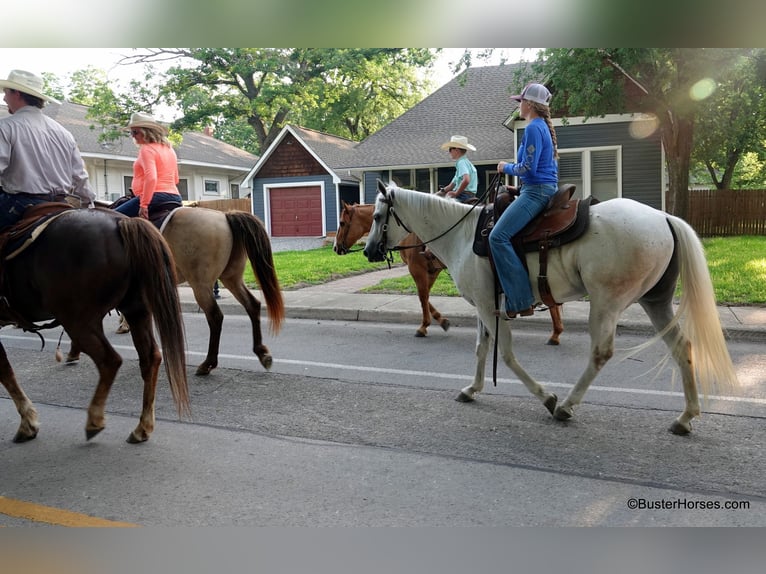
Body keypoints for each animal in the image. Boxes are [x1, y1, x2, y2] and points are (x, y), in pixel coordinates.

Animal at [0, 207, 190, 446]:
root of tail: (121, 222)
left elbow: (5, 371)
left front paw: (28, 423)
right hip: (136, 310)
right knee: (150, 358)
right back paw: (142, 427)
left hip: (78, 320)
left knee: (110, 361)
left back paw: (95, 420)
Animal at [71, 207, 284, 378]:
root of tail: (224, 215)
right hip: (231, 278)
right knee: (252, 305)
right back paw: (262, 353)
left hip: (201, 285)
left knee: (215, 317)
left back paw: (208, 364)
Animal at [332, 200, 568, 344]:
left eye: (342, 222)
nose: (335, 248)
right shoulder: (431, 270)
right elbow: (426, 297)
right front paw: (440, 320)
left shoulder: (417, 269)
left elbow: (422, 297)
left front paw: (424, 326)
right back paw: (555, 331)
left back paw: (555, 332)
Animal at [366, 182, 744, 434]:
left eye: (377, 215)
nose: (369, 251)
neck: (462, 236)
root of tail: (664, 217)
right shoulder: (483, 308)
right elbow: (481, 349)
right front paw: (472, 390)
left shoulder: (490, 309)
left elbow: (505, 355)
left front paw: (546, 397)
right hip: (655, 301)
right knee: (681, 347)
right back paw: (685, 417)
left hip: (606, 302)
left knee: (601, 353)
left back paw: (566, 406)